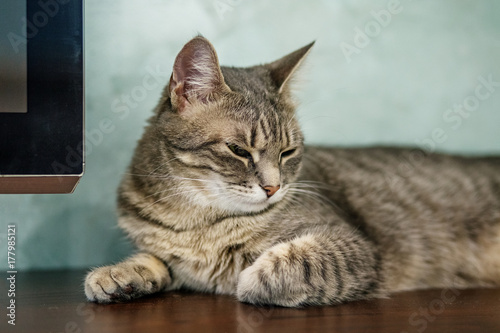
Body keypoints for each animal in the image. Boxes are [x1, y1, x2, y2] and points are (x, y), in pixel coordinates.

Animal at [85, 34, 500, 306]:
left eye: (288, 152)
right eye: (239, 150)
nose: (274, 188)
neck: (195, 221)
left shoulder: (354, 245)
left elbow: (284, 265)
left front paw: (243, 277)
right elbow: (154, 258)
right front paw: (119, 274)